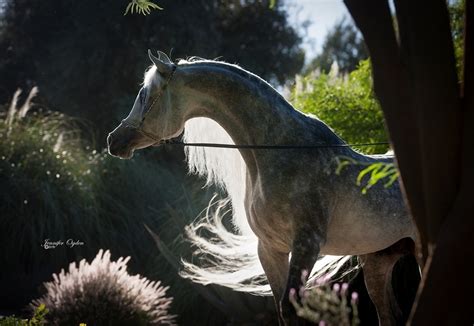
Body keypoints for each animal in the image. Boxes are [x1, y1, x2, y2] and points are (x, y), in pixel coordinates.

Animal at [108, 49, 418, 324]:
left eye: (145, 95)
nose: (114, 140)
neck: (280, 151)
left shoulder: (306, 245)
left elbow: (292, 309)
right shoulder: (270, 249)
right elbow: (281, 309)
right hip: (379, 263)